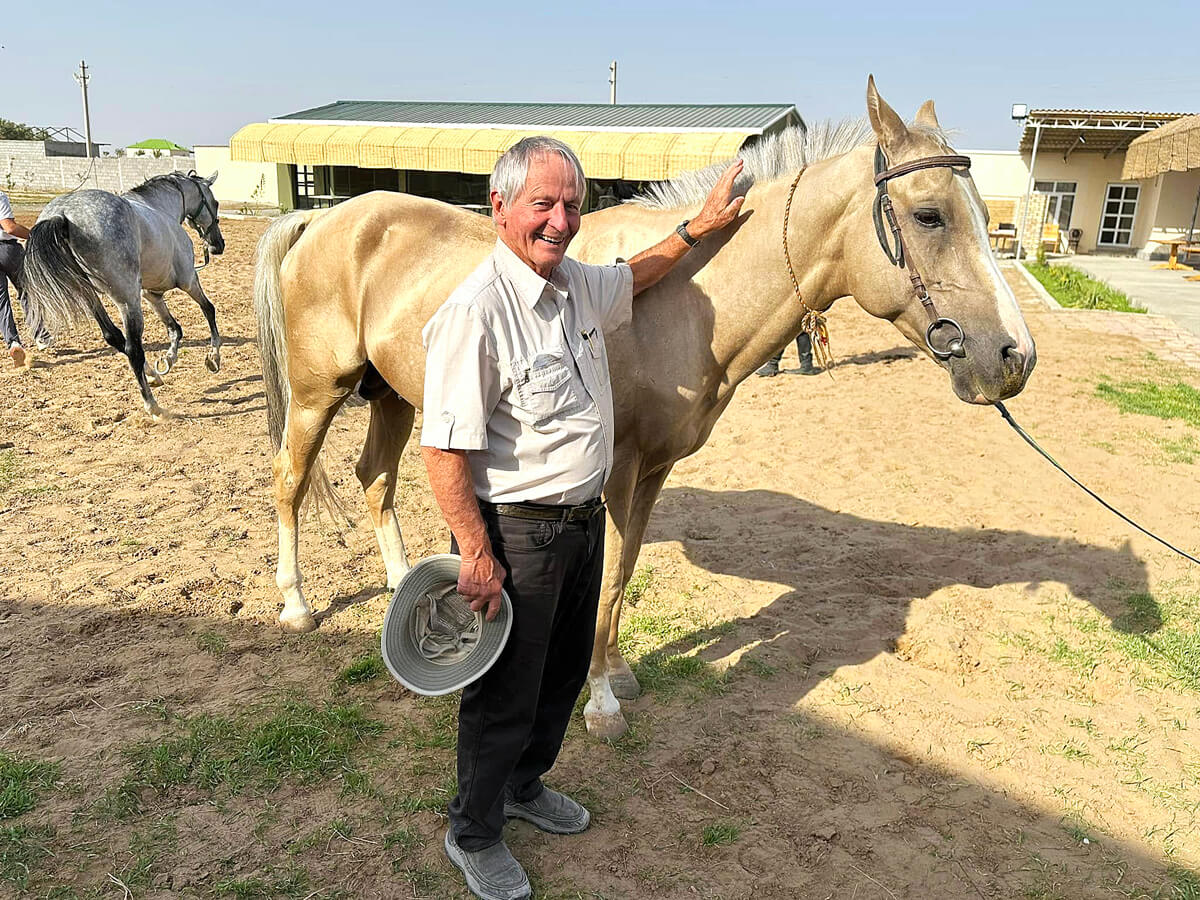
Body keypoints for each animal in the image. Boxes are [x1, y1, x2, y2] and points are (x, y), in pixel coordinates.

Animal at [21, 171, 226, 419]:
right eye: (215, 203)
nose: (218, 245)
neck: (161, 207)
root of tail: (62, 215)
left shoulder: (152, 294)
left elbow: (174, 328)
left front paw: (168, 360)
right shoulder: (188, 280)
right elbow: (208, 310)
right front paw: (213, 358)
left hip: (91, 296)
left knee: (115, 337)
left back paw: (153, 376)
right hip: (127, 300)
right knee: (133, 349)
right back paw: (153, 406)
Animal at [251, 78, 1036, 738]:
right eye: (929, 215)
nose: (1013, 357)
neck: (688, 299)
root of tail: (321, 220)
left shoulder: (654, 469)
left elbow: (624, 572)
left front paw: (620, 674)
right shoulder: (618, 471)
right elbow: (605, 579)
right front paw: (599, 702)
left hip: (391, 396)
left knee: (375, 480)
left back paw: (399, 584)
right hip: (320, 393)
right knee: (290, 480)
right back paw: (295, 606)